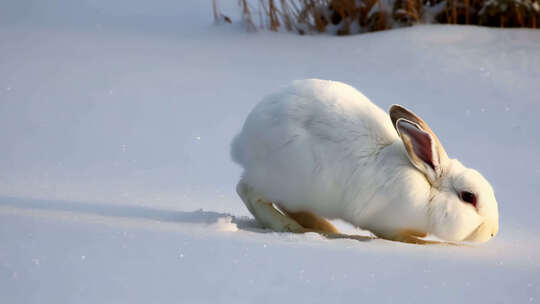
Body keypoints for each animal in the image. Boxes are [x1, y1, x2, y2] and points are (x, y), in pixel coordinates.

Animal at [230, 79, 500, 243]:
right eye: (469, 197)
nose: (493, 232)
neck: (428, 192)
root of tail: (243, 142)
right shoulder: (386, 222)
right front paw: (416, 239)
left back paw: (324, 227)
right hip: (284, 180)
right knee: (248, 192)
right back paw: (290, 227)